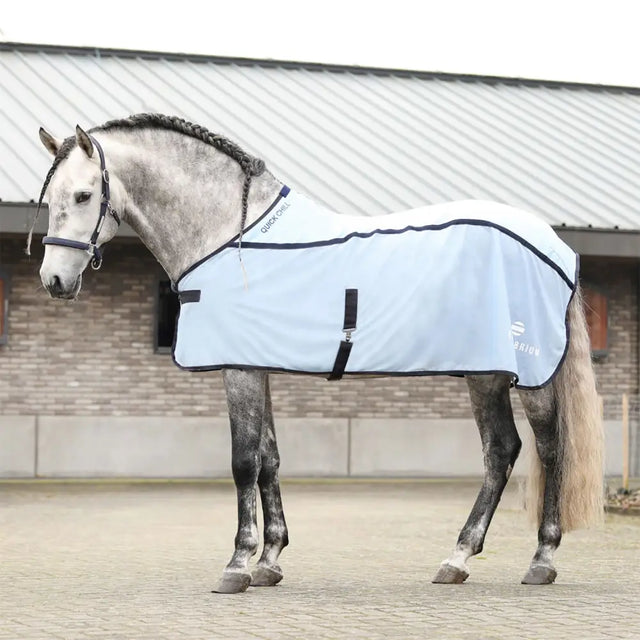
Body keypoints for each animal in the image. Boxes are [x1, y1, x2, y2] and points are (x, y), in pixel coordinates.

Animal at [32, 113, 604, 593]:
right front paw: (269, 561)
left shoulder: (239, 369)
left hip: (523, 374)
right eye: (51, 196)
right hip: (487, 373)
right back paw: (458, 559)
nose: (54, 281)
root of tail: (554, 246)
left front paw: (236, 566)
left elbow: (243, 460)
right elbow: (268, 458)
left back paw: (538, 559)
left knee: (545, 447)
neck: (230, 237)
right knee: (504, 451)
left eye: (83, 194)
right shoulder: (256, 365)